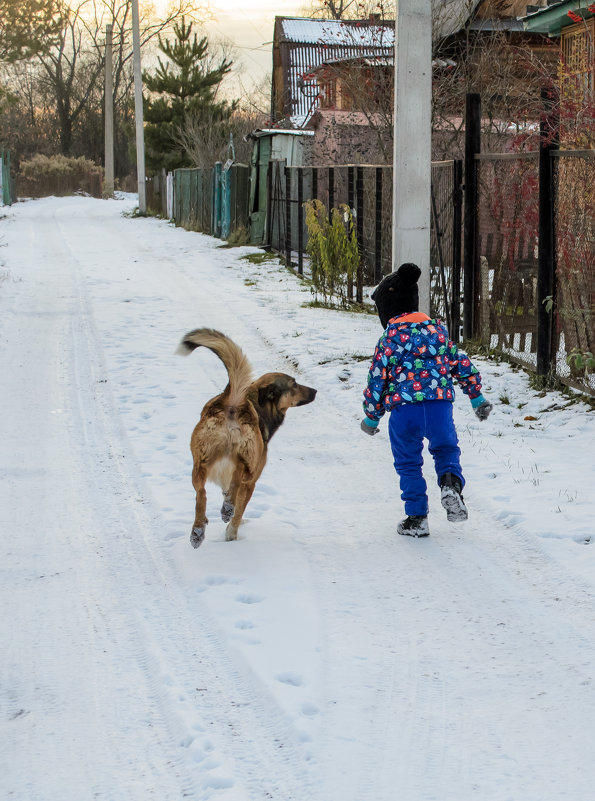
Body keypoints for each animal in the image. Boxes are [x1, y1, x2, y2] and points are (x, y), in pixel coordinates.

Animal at [176, 328, 316, 548]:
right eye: (294, 384)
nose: (315, 391)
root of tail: (234, 401)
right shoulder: (251, 483)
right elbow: (239, 512)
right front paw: (231, 534)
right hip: (248, 458)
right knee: (238, 472)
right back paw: (226, 511)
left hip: (200, 461)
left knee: (201, 493)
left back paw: (198, 530)